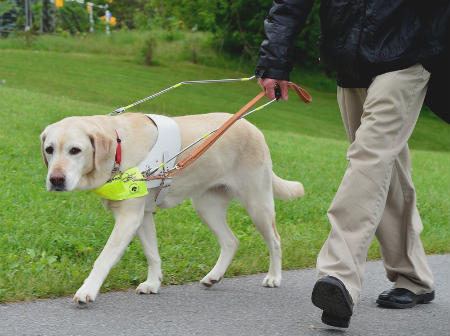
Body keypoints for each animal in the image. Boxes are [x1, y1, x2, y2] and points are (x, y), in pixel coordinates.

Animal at [40, 112, 304, 304]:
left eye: (75, 150)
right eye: (49, 149)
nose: (55, 180)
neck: (118, 148)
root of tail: (251, 126)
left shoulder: (129, 217)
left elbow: (104, 257)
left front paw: (88, 290)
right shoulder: (143, 216)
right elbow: (152, 254)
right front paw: (153, 283)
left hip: (257, 203)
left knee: (275, 240)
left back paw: (273, 277)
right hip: (206, 206)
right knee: (231, 241)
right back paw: (214, 276)